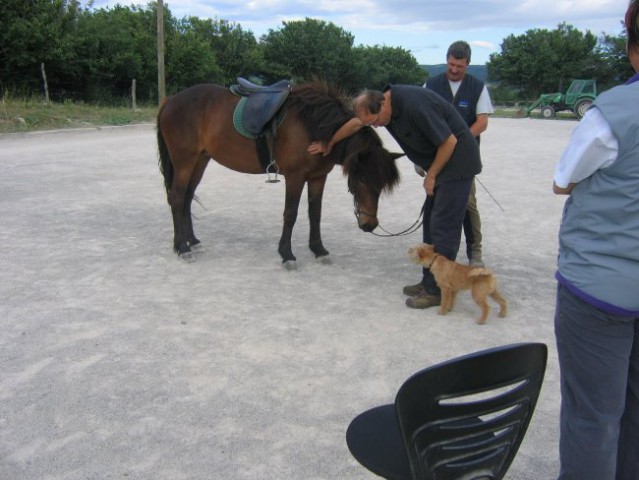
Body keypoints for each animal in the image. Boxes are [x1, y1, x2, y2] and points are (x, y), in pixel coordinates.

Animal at [159, 83, 400, 270]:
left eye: (381, 184)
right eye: (362, 179)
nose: (370, 225)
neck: (313, 126)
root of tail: (170, 100)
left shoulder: (318, 177)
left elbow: (315, 213)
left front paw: (319, 250)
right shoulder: (295, 177)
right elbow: (290, 214)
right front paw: (287, 254)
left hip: (200, 161)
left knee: (187, 198)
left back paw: (192, 241)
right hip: (184, 162)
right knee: (177, 198)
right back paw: (182, 247)